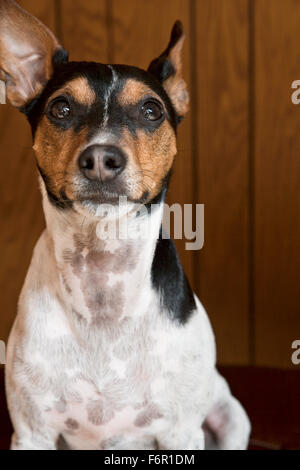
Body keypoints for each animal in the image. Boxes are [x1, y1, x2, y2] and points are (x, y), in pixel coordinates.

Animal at [0, 0, 251, 452]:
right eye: (60, 108)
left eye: (151, 110)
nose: (101, 158)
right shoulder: (31, 432)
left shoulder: (181, 431)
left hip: (230, 415)